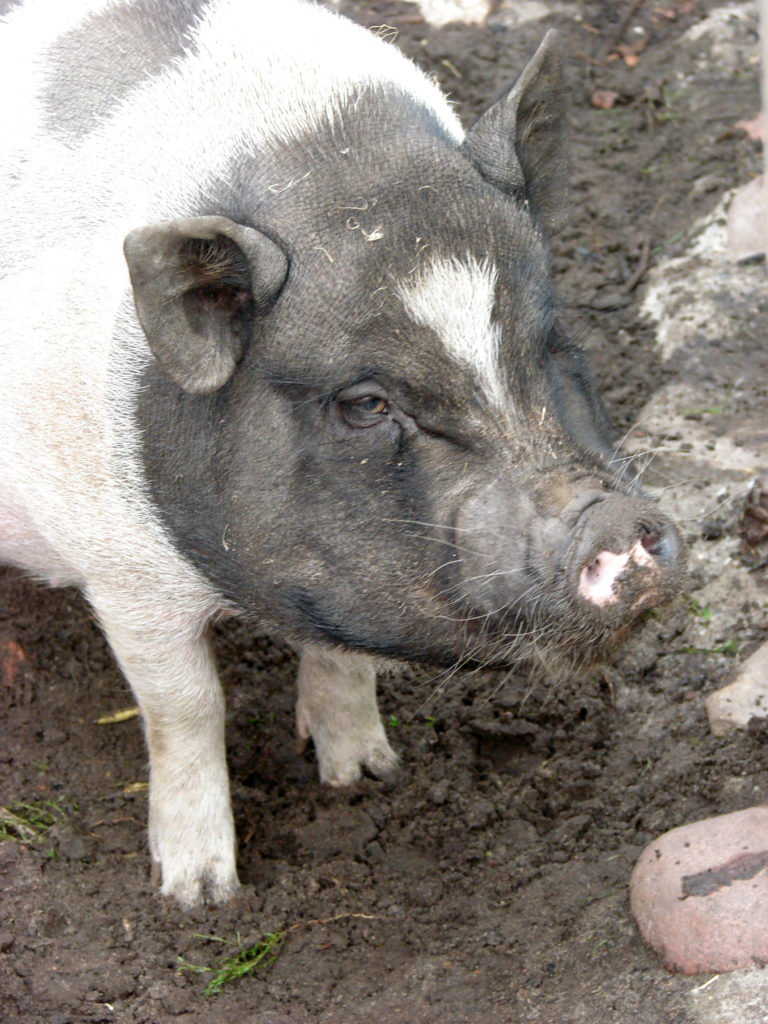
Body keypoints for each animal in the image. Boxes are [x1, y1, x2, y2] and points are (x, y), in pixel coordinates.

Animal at [0, 0, 684, 907]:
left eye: (551, 342)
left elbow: (342, 659)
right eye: (365, 404)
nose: (612, 517)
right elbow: (186, 706)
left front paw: (365, 776)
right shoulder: (118, 564)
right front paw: (199, 896)